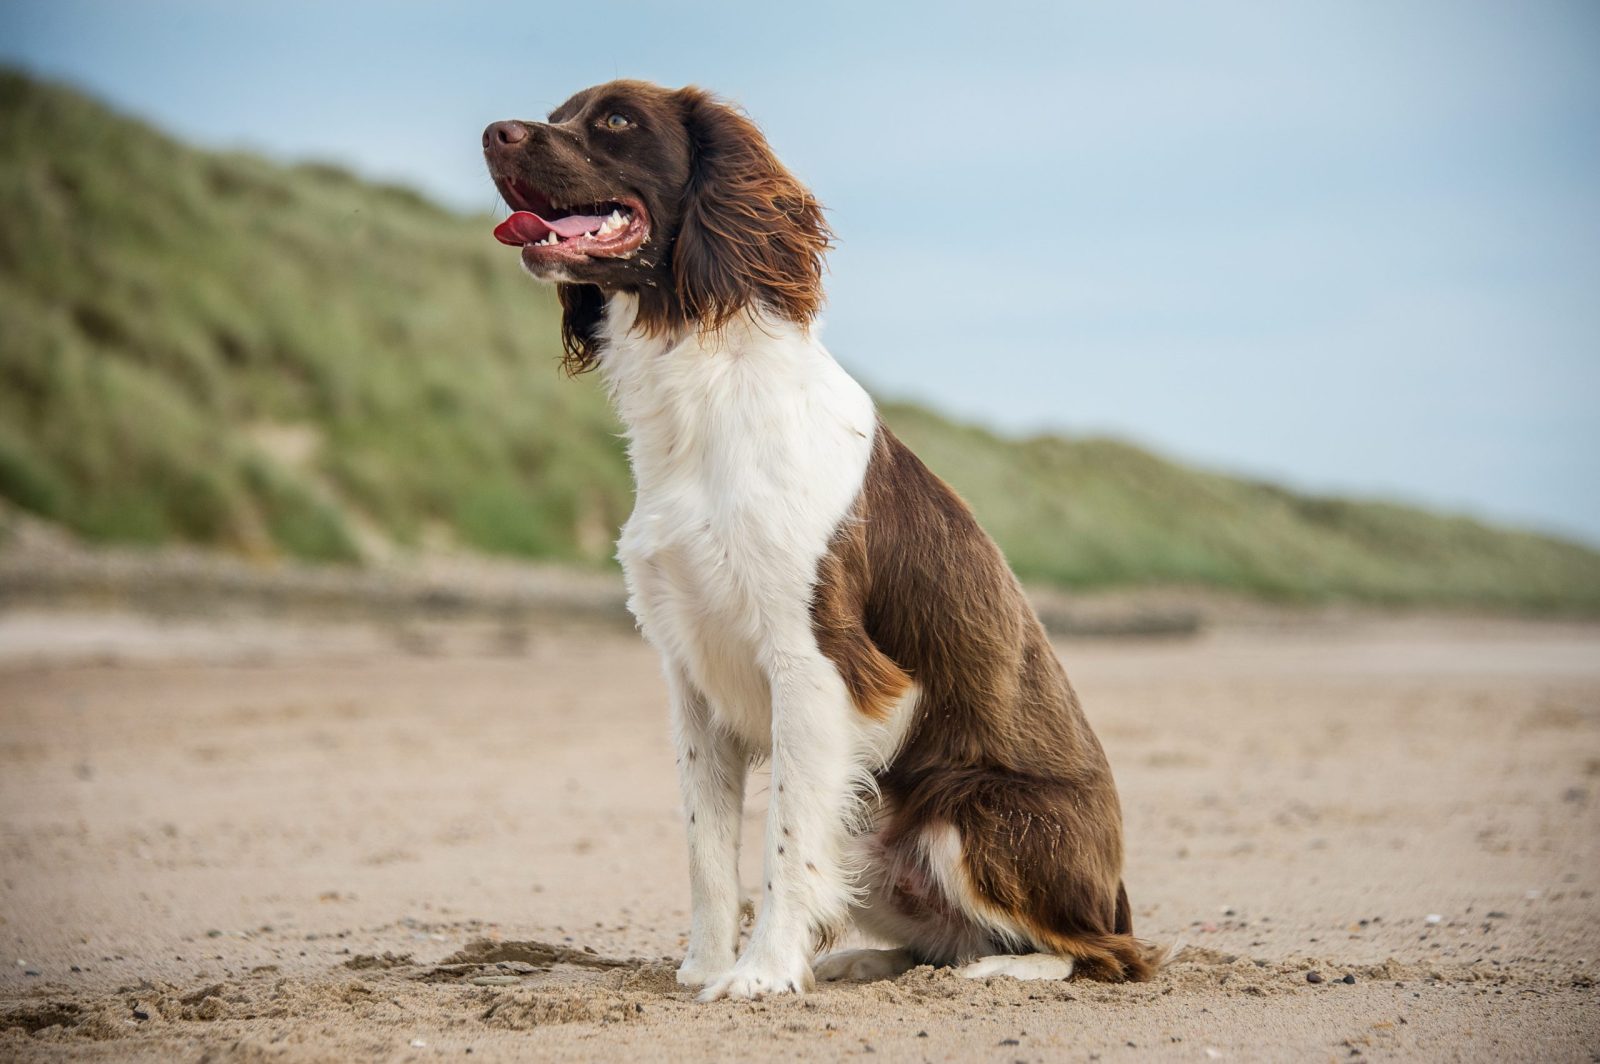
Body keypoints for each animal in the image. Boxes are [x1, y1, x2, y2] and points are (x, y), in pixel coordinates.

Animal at [480, 80, 1158, 998]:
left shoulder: (819, 667)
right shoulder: (689, 678)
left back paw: (996, 971)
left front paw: (761, 975)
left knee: (1101, 951)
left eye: (617, 120)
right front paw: (704, 968)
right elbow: (707, 848)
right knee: (939, 933)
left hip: (969, 813)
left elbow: (784, 844)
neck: (705, 396)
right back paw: (864, 961)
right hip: (876, 820)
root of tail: (1114, 889)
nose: (494, 133)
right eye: (559, 112)